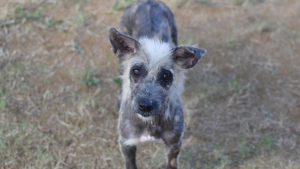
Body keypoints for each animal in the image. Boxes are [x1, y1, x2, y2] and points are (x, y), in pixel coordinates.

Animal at [108, 0, 206, 168]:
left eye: (166, 76)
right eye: (136, 71)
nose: (145, 106)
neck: (150, 124)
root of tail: (147, 2)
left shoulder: (174, 145)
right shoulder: (127, 143)